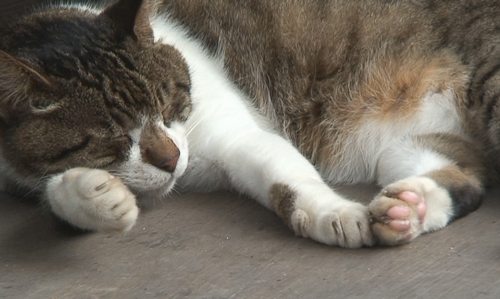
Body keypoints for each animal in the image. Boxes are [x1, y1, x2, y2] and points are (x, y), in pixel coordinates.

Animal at [0, 0, 498, 248]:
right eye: (113, 138)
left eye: (168, 103)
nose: (173, 160)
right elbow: (57, 196)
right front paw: (95, 195)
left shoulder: (239, 135)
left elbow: (289, 176)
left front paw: (333, 214)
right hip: (405, 144)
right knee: (465, 181)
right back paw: (408, 208)